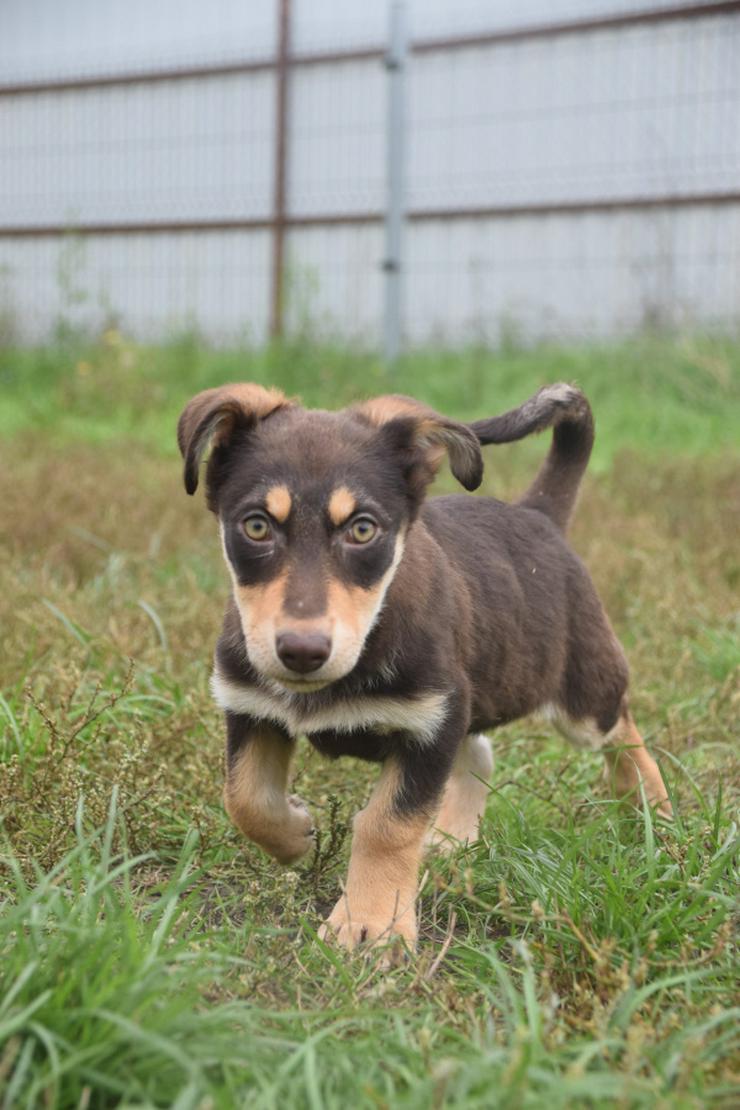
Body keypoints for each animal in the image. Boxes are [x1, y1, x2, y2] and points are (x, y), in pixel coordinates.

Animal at [177, 381, 670, 954]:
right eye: (256, 525)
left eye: (362, 530)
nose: (301, 651)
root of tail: (539, 515)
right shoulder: (251, 709)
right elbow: (245, 798)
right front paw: (297, 835)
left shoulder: (429, 722)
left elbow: (386, 825)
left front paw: (371, 923)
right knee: (480, 751)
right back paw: (454, 839)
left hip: (579, 698)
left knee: (623, 730)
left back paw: (652, 811)